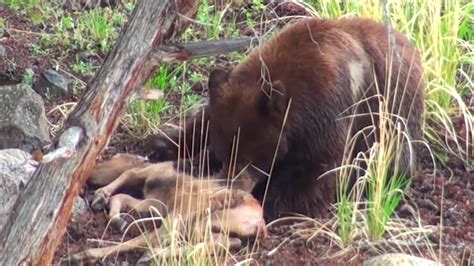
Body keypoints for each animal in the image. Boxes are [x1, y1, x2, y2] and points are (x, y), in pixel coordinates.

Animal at [145, 17, 426, 220]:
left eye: (251, 159)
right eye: (225, 152)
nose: (234, 185)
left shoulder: (331, 113)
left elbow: (322, 169)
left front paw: (273, 203)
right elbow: (202, 121)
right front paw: (162, 144)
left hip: (397, 115)